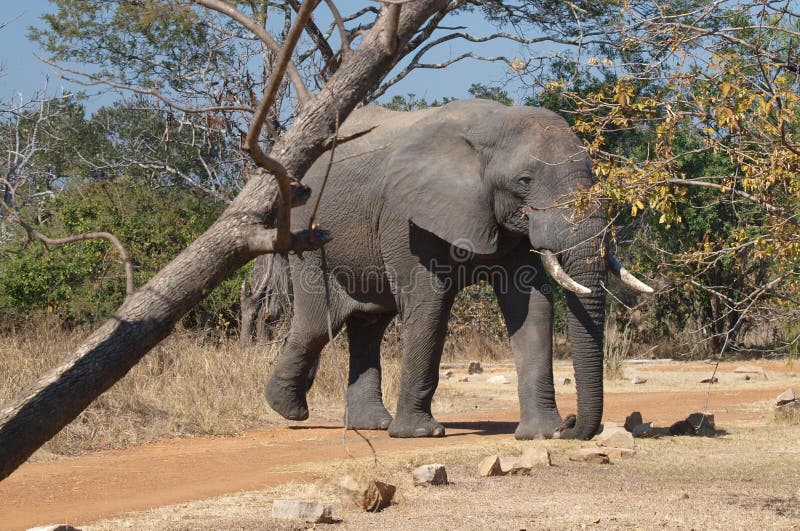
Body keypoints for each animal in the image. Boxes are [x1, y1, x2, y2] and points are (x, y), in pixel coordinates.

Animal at [264, 99, 652, 440]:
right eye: (525, 181)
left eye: (594, 178)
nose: (571, 424)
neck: (492, 127)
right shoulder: (408, 216)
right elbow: (429, 306)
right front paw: (420, 434)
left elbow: (531, 306)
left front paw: (542, 434)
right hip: (308, 235)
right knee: (320, 322)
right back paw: (288, 409)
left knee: (369, 324)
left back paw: (369, 425)